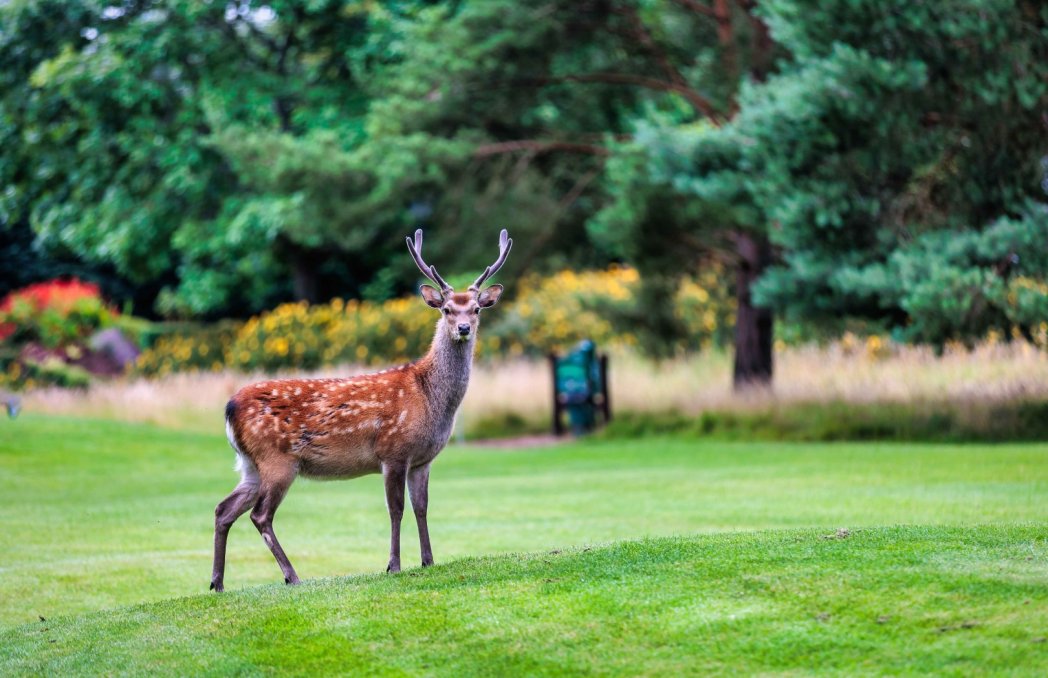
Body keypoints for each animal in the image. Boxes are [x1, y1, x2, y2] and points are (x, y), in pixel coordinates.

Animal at [209, 228, 511, 586]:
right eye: (447, 309)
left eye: (476, 309)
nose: (463, 329)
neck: (429, 398)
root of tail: (229, 407)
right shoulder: (393, 450)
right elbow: (396, 509)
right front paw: (393, 565)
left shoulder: (423, 460)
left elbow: (421, 507)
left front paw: (428, 561)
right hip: (276, 459)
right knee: (260, 515)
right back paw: (291, 576)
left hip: (250, 464)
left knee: (223, 509)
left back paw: (217, 583)